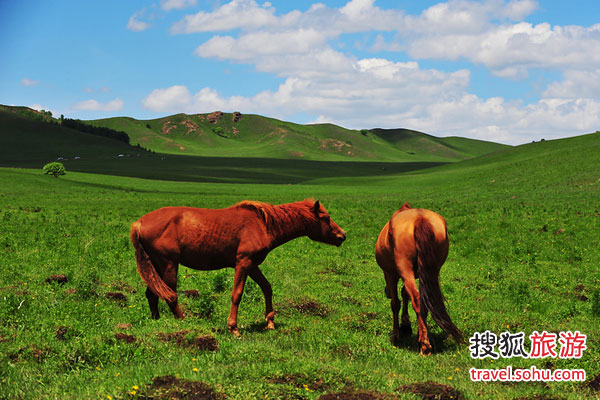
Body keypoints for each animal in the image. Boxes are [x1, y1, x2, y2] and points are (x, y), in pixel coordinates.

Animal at [131, 199, 346, 334]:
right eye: (326, 218)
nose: (342, 236)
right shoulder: (243, 263)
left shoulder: (253, 265)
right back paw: (184, 322)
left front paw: (270, 322)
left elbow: (267, 288)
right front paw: (233, 328)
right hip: (168, 265)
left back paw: (157, 320)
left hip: (155, 266)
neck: (262, 225)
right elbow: (237, 294)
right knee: (171, 295)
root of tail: (139, 223)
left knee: (153, 294)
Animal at [376, 205, 464, 354]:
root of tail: (420, 219)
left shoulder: (390, 274)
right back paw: (421, 339)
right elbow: (405, 293)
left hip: (404, 267)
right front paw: (406, 326)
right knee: (426, 301)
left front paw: (396, 336)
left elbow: (396, 303)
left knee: (416, 299)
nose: (386, 292)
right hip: (432, 270)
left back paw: (424, 344)